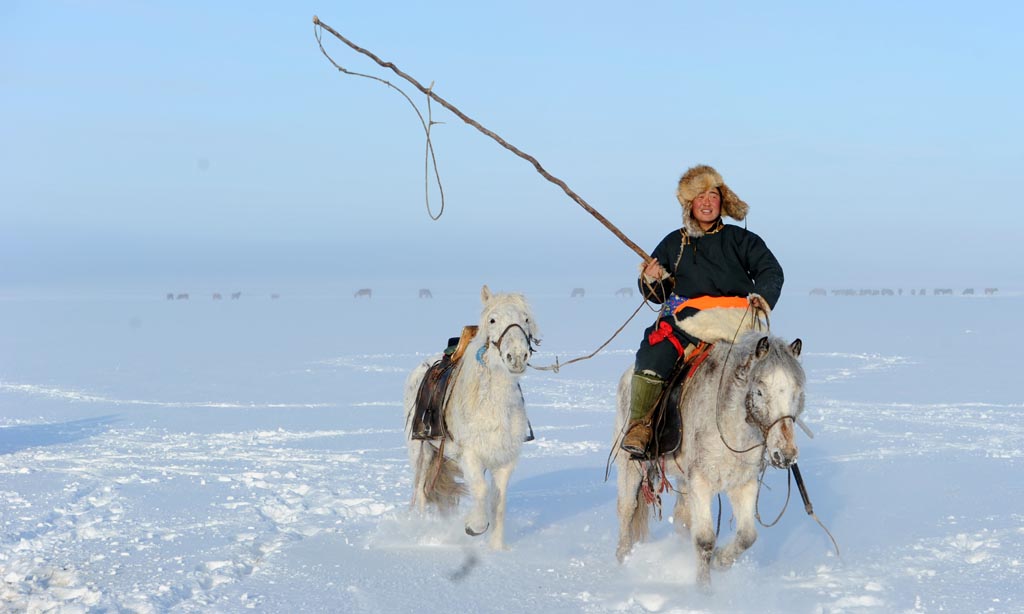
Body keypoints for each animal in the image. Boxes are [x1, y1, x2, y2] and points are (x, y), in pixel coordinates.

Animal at [403, 284, 540, 548]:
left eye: (526, 319)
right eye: (492, 320)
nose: (517, 356)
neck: (492, 406)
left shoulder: (504, 461)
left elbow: (498, 502)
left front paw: (497, 548)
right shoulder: (470, 456)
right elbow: (480, 490)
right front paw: (474, 527)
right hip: (421, 451)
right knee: (421, 494)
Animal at [610, 331, 802, 585]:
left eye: (796, 393)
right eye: (760, 391)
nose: (786, 454)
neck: (729, 426)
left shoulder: (743, 484)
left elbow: (747, 536)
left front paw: (720, 561)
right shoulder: (701, 482)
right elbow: (704, 540)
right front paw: (704, 589)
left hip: (682, 478)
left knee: (681, 518)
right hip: (629, 464)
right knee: (626, 508)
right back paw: (622, 562)